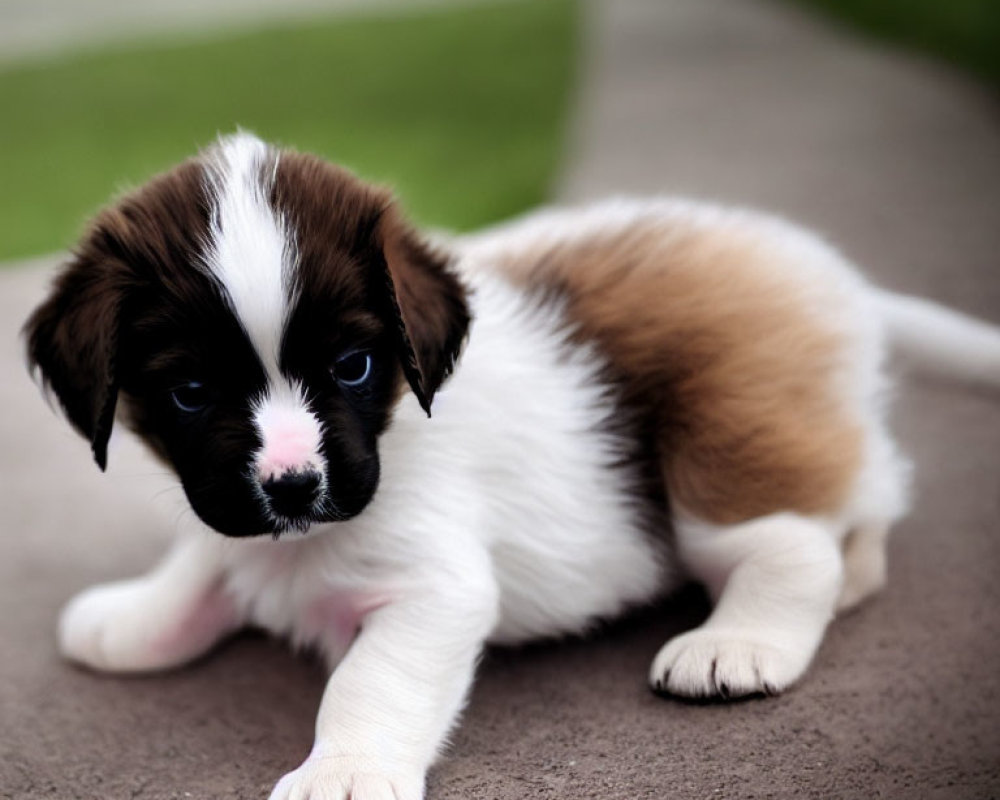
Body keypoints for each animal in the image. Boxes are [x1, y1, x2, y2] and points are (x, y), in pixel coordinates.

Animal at [23, 134, 1000, 796]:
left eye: (353, 366)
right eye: (190, 392)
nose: (294, 486)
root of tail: (832, 278)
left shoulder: (434, 589)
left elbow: (368, 682)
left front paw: (346, 768)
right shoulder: (231, 516)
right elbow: (203, 560)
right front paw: (138, 618)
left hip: (721, 439)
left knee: (794, 537)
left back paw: (744, 638)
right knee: (868, 492)